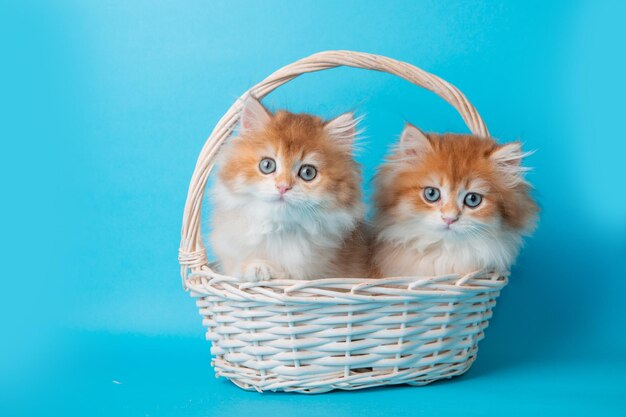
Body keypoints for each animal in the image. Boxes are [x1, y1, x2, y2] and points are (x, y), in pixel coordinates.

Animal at [210, 96, 368, 282]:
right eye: (267, 165)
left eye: (308, 172)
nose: (283, 187)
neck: (279, 230)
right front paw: (255, 267)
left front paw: (265, 268)